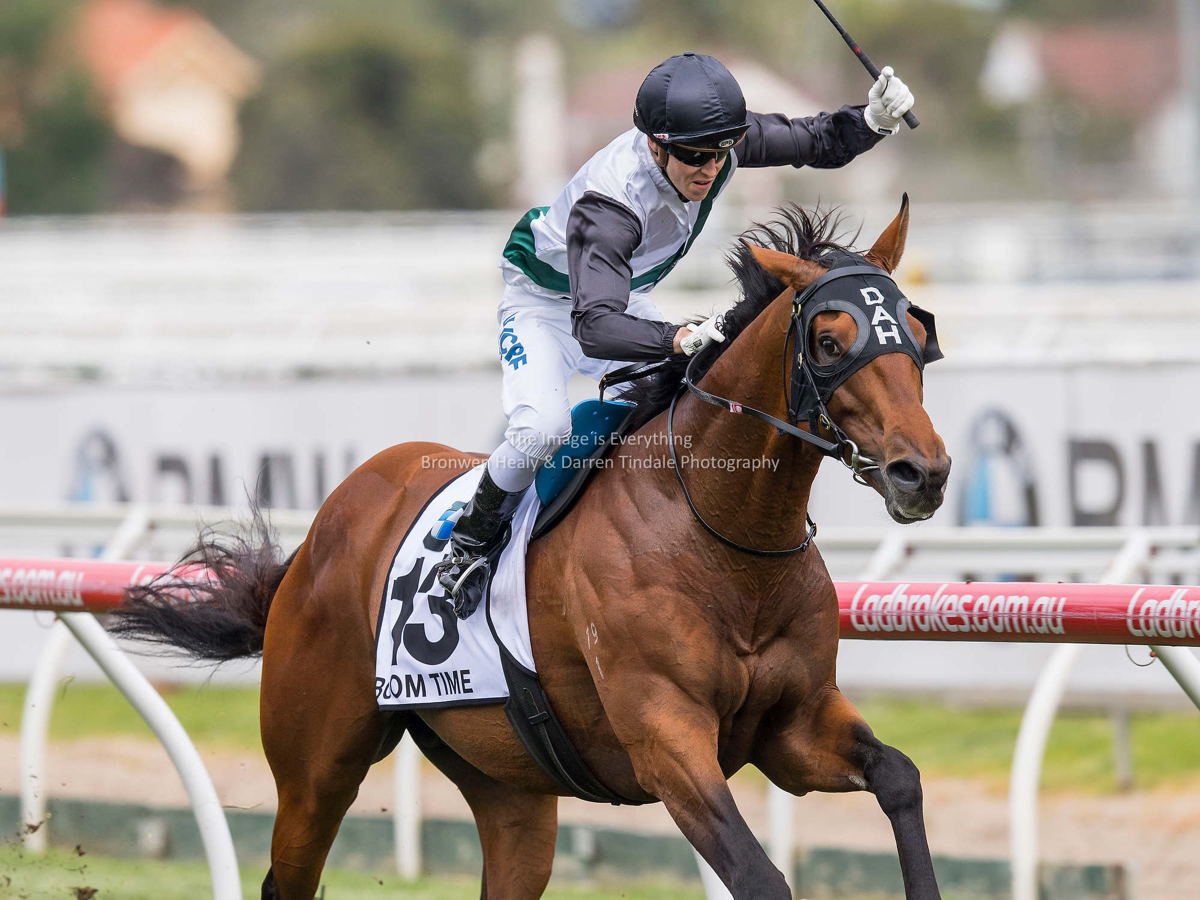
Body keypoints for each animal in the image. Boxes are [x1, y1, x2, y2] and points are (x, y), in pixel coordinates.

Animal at [117, 196, 950, 900]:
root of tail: (323, 531)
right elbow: (759, 876)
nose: (924, 471)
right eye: (830, 340)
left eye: (917, 336)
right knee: (290, 869)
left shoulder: (793, 726)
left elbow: (901, 777)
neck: (724, 540)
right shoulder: (667, 739)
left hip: (508, 785)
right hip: (316, 763)